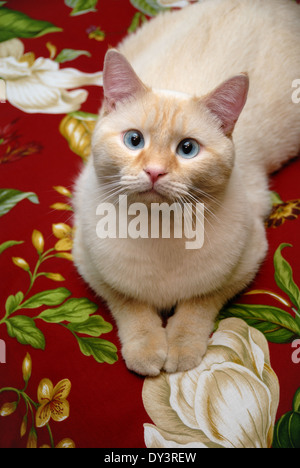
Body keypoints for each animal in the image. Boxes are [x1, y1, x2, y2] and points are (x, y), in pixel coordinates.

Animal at [72, 0, 300, 374]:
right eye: (134, 140)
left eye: (187, 149)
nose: (155, 171)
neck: (158, 230)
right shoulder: (89, 262)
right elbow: (130, 303)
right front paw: (147, 350)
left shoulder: (246, 260)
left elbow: (198, 304)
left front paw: (181, 350)